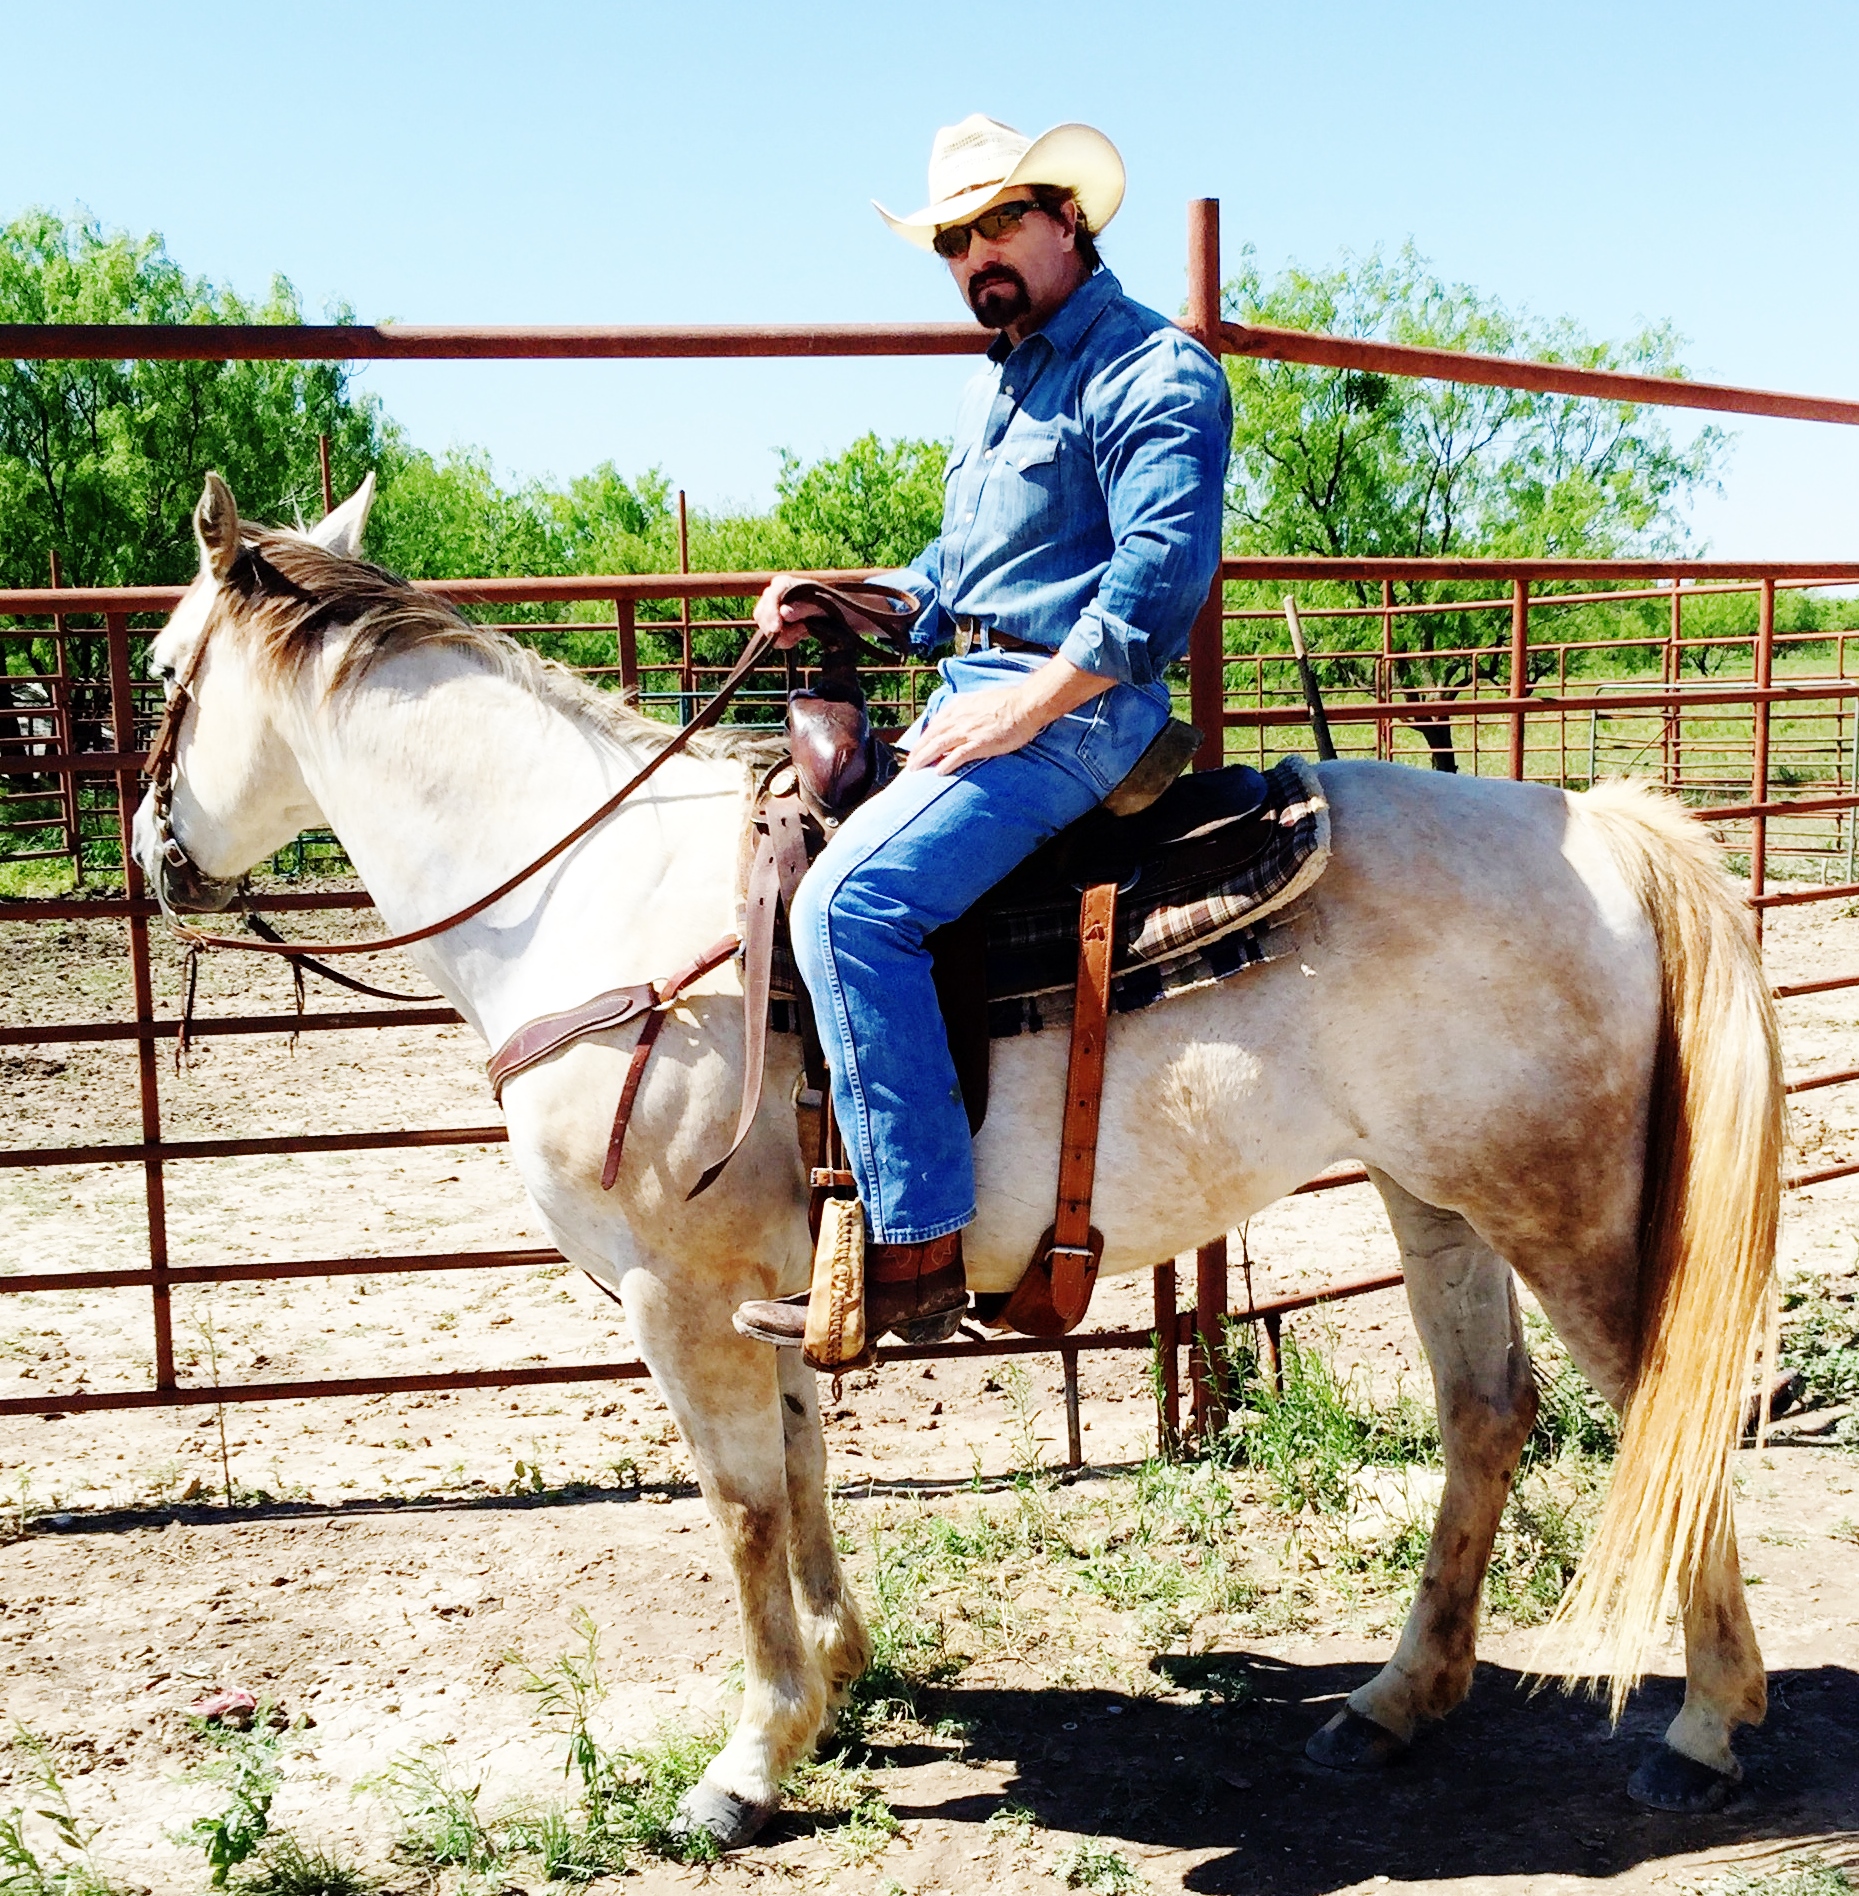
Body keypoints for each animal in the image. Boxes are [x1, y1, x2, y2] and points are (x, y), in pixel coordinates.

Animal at [134, 477, 1783, 1850]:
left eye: (157, 675)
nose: (152, 856)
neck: (589, 897)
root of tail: (1599, 827)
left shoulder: (674, 1297)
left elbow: (739, 1503)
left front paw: (746, 1763)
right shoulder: (771, 1284)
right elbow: (800, 1466)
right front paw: (838, 1681)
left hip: (1559, 1208)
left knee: (1664, 1409)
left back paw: (1702, 1730)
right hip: (1432, 1196)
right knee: (1483, 1414)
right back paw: (1391, 1704)